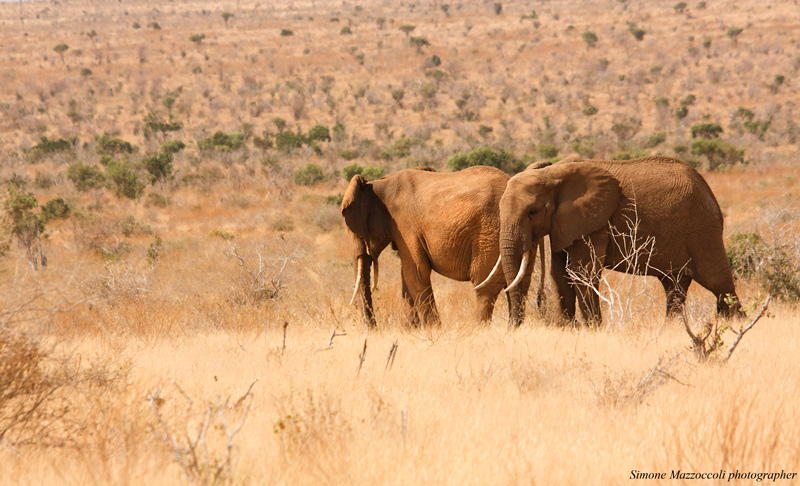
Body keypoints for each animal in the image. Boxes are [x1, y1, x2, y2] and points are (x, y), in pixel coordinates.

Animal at [341, 166, 543, 328]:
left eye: (352, 228)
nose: (374, 329)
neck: (380, 185)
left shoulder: (404, 225)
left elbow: (415, 271)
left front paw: (434, 331)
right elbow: (407, 276)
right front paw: (410, 331)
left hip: (490, 231)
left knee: (485, 285)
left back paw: (478, 329)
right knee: (520, 282)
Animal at [497, 155, 742, 327]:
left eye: (532, 212)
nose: (512, 328)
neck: (551, 173)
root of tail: (709, 191)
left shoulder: (593, 223)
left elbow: (582, 273)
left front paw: (593, 330)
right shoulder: (563, 226)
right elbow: (560, 276)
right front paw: (567, 329)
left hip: (703, 229)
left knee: (719, 283)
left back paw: (737, 324)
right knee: (674, 285)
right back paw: (671, 329)